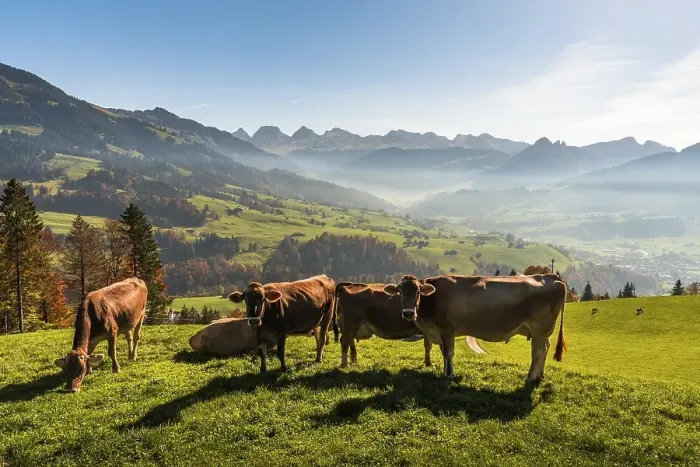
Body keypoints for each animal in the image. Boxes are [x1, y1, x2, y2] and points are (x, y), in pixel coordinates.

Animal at [383, 274, 567, 384]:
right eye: (400, 291)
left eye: (418, 292)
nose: (408, 313)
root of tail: (551, 276)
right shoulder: (441, 332)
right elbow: (443, 353)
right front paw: (444, 371)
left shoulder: (446, 329)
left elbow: (448, 353)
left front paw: (449, 374)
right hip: (543, 332)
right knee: (545, 348)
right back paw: (539, 375)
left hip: (539, 329)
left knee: (538, 351)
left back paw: (530, 377)